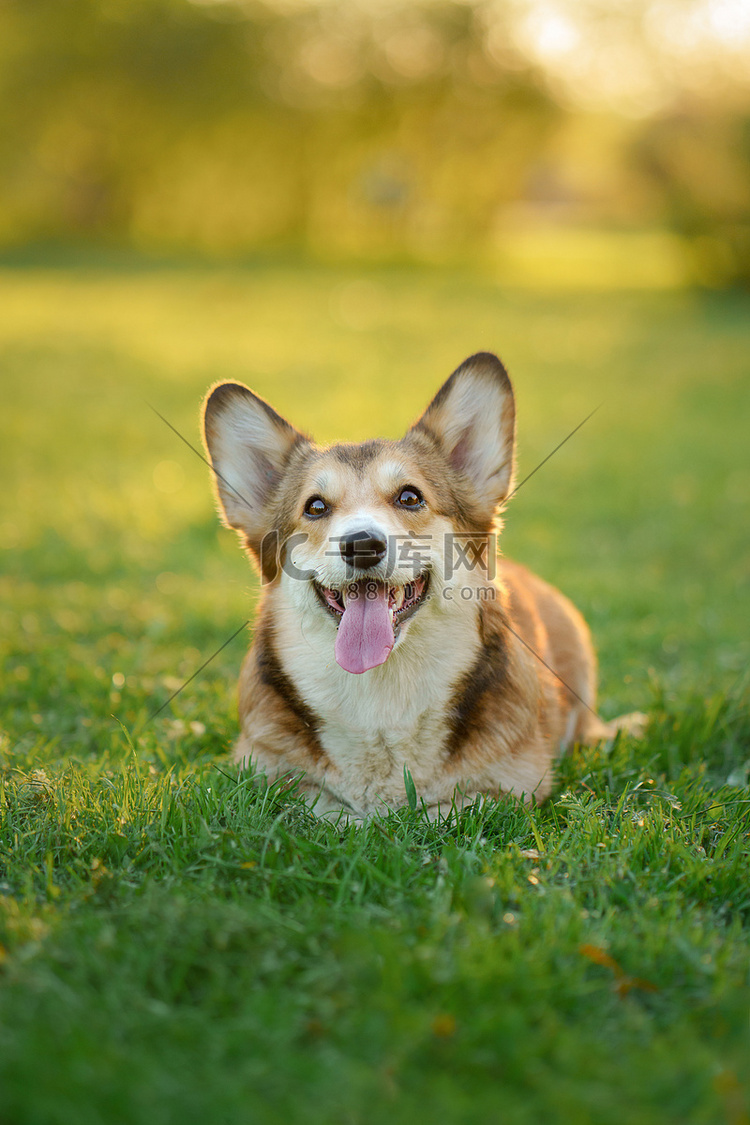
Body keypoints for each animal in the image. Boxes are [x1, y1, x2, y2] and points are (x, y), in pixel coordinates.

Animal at [201, 351, 647, 819]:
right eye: (315, 507)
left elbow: (443, 812)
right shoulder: (260, 775)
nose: (362, 545)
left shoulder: (513, 788)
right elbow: (321, 806)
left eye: (410, 497)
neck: (381, 694)